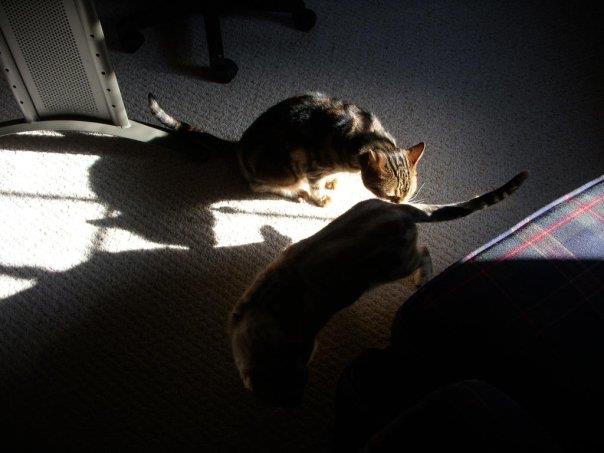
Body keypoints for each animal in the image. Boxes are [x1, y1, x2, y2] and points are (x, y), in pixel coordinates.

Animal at [148, 92, 425, 207]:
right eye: (390, 195)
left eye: (408, 193)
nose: (400, 205)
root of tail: (239, 145)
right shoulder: (313, 167)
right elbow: (316, 186)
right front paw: (320, 196)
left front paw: (335, 180)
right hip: (285, 169)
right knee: (261, 186)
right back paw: (297, 193)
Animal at [228, 171, 528, 407]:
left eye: (295, 392)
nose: (297, 402)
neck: (261, 316)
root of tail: (401, 211)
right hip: (367, 211)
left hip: (397, 264)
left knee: (424, 252)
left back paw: (423, 279)